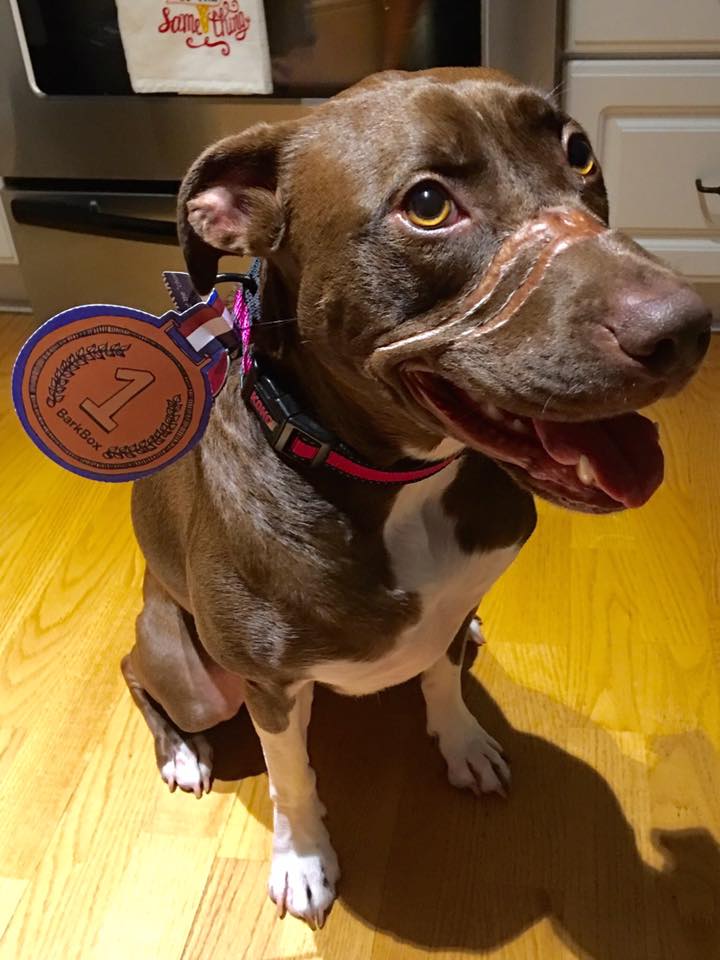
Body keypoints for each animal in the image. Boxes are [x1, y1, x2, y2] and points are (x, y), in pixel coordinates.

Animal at [121, 68, 711, 927]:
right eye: (428, 205)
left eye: (578, 151)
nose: (691, 327)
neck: (399, 485)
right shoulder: (271, 688)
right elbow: (291, 775)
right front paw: (304, 860)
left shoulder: (454, 604)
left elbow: (440, 673)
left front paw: (463, 742)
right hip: (196, 677)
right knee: (140, 675)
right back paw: (184, 756)